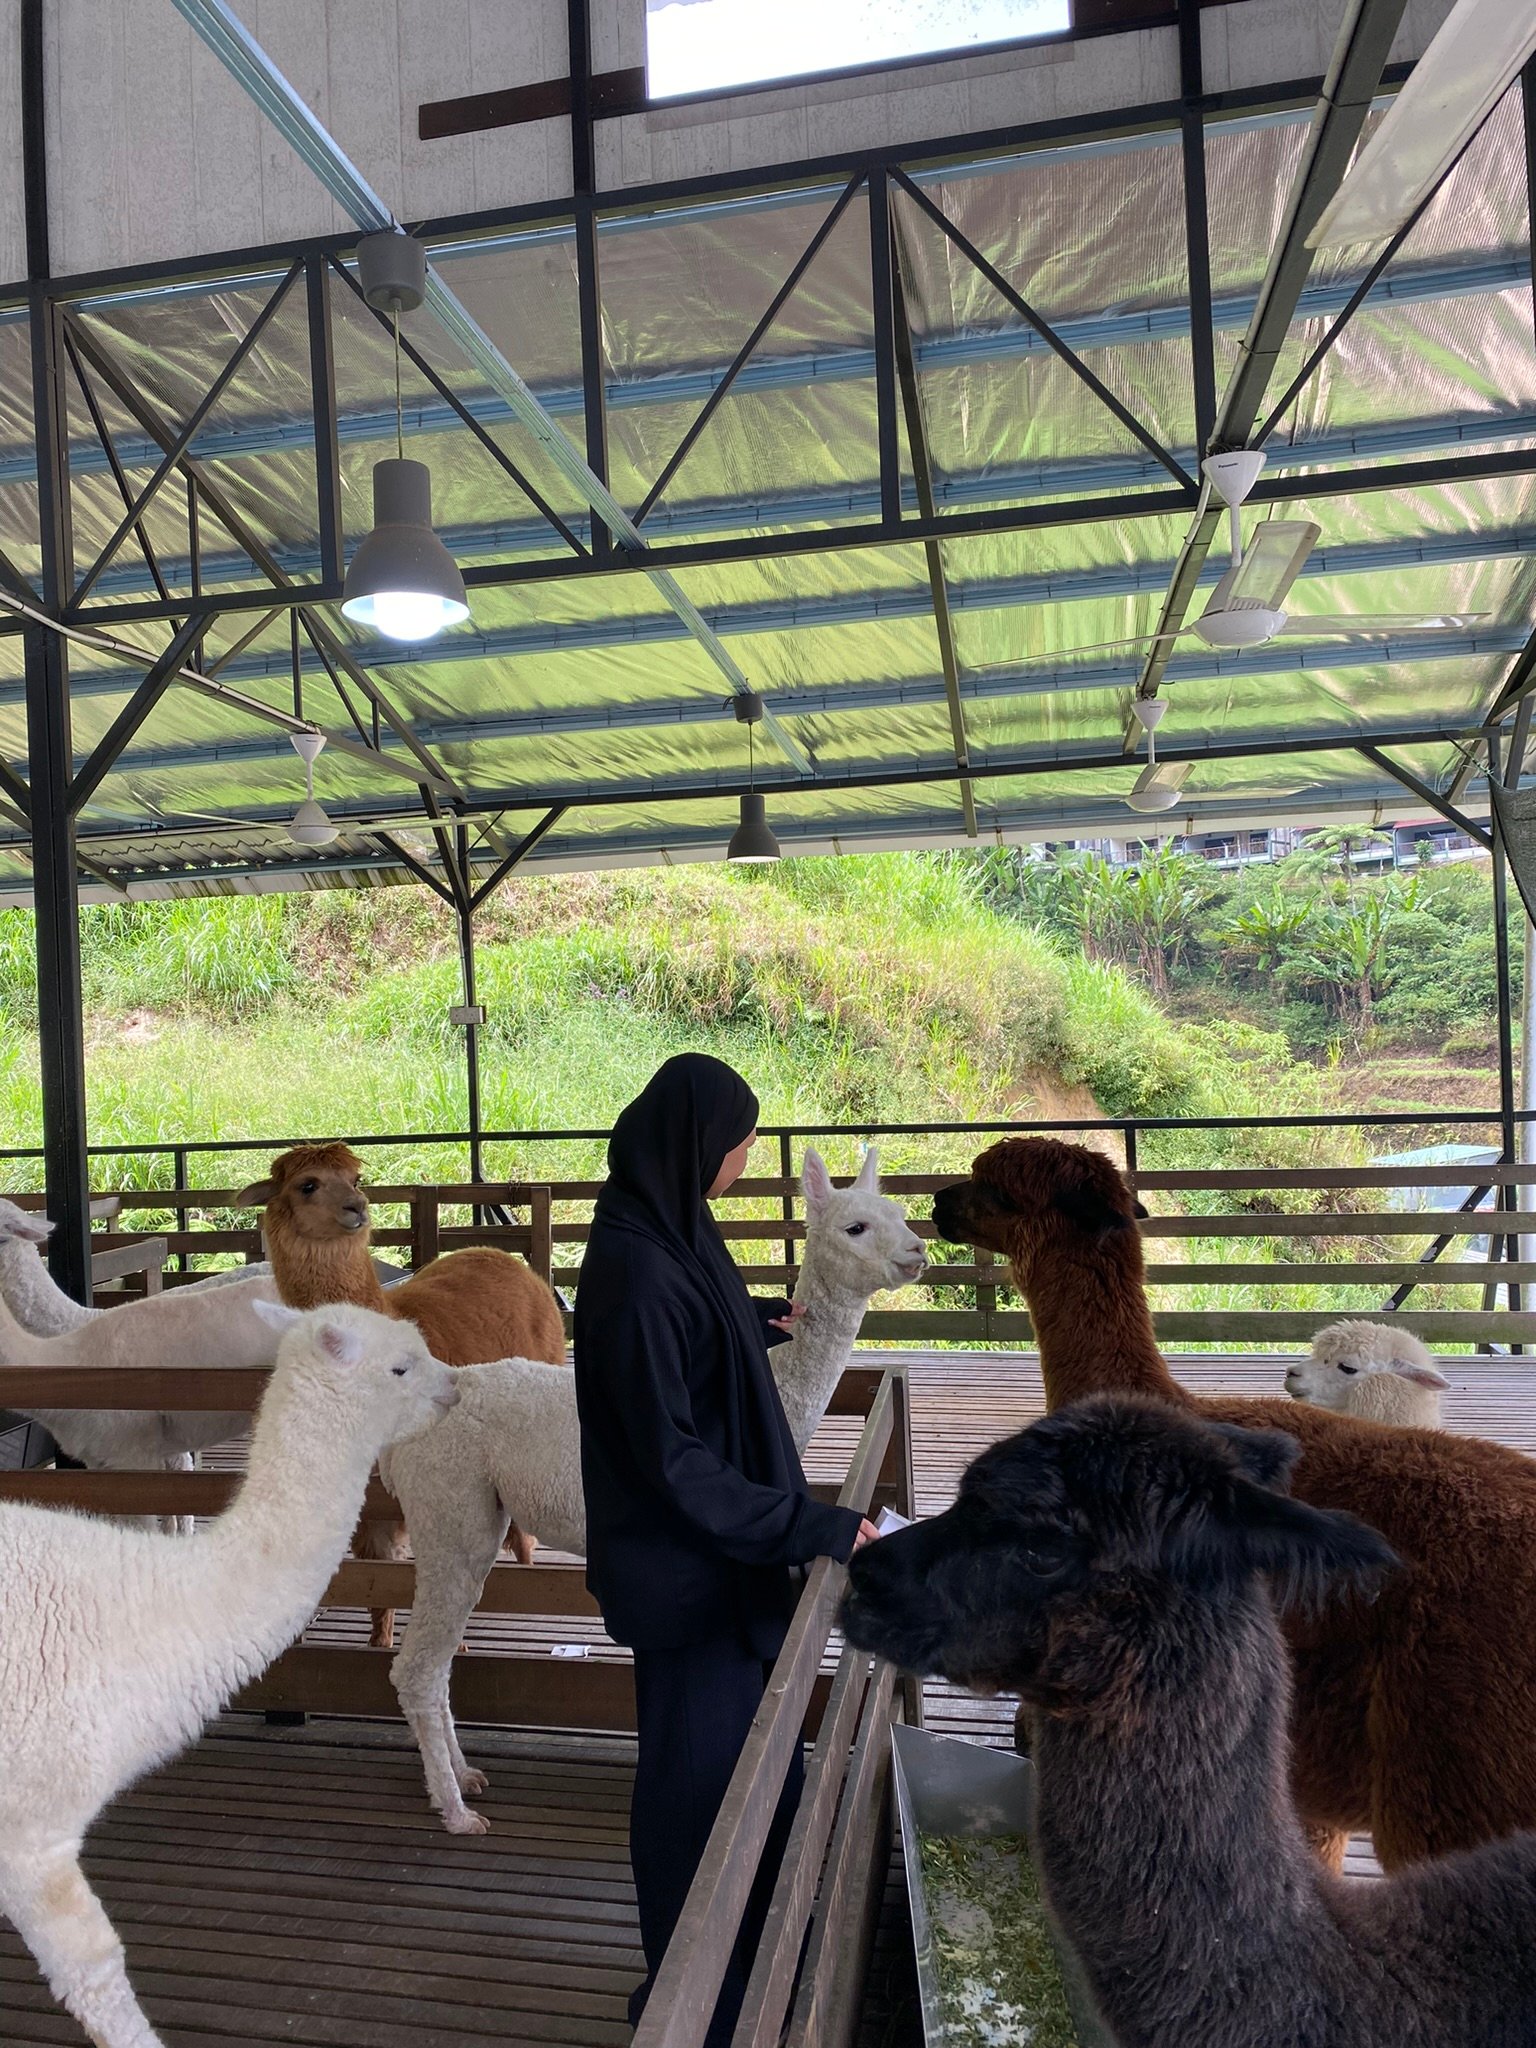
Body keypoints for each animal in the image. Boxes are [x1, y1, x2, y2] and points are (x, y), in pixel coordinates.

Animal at [237, 1142, 568, 1647]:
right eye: (307, 1185)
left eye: (356, 1178)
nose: (356, 1208)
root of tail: (494, 1250)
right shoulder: (369, 1508)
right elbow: (378, 1589)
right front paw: (380, 1644)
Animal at [386, 1147, 926, 1833]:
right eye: (855, 1227)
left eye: (901, 1214)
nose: (918, 1251)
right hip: (450, 1510)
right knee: (418, 1668)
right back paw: (455, 1810)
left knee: (439, 1661)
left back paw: (464, 1777)